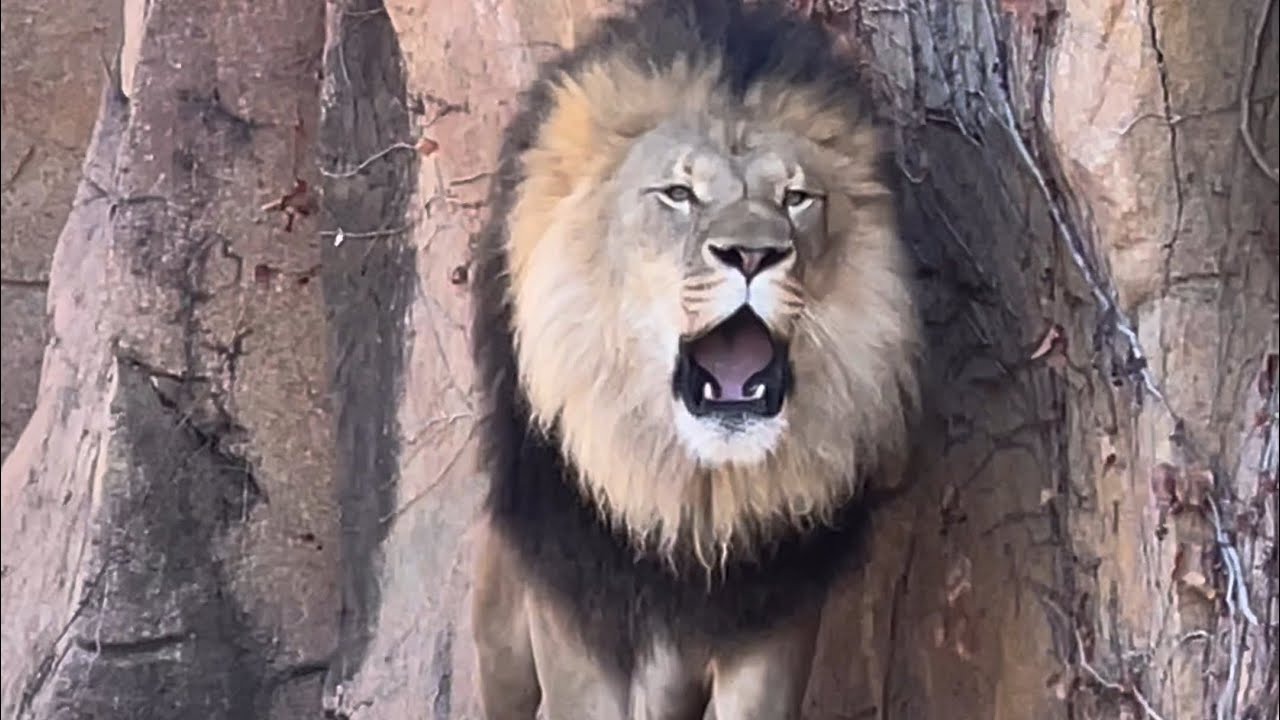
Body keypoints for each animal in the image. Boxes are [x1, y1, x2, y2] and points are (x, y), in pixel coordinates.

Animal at [468, 0, 922, 717]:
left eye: (796, 198)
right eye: (679, 194)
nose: (752, 254)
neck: (692, 486)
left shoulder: (771, 607)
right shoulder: (573, 594)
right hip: (503, 635)